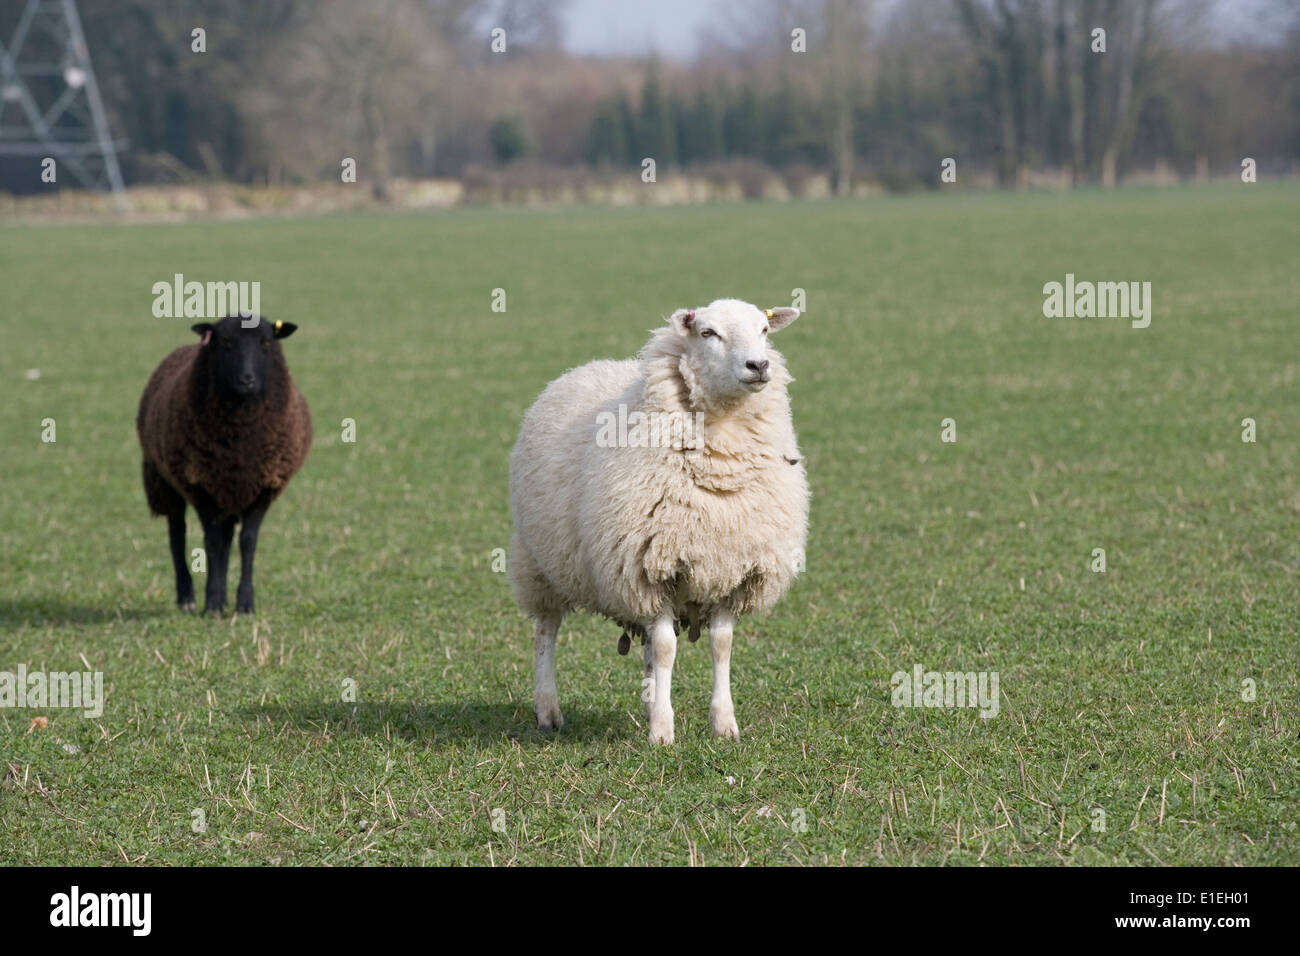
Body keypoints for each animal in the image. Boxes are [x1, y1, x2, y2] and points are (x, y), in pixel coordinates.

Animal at [135, 310, 310, 616]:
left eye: (266, 342)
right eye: (225, 342)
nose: (246, 380)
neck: (241, 443)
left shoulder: (263, 487)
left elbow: (247, 542)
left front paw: (244, 604)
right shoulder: (200, 486)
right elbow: (212, 543)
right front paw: (213, 604)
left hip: (228, 490)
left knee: (227, 539)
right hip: (165, 480)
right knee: (178, 535)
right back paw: (187, 597)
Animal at [509, 299, 806, 749]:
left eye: (765, 330)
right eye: (707, 333)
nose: (759, 365)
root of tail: (587, 367)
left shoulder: (734, 569)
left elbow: (721, 645)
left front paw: (723, 724)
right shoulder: (647, 571)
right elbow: (667, 649)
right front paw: (663, 732)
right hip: (538, 564)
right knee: (546, 632)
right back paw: (548, 711)